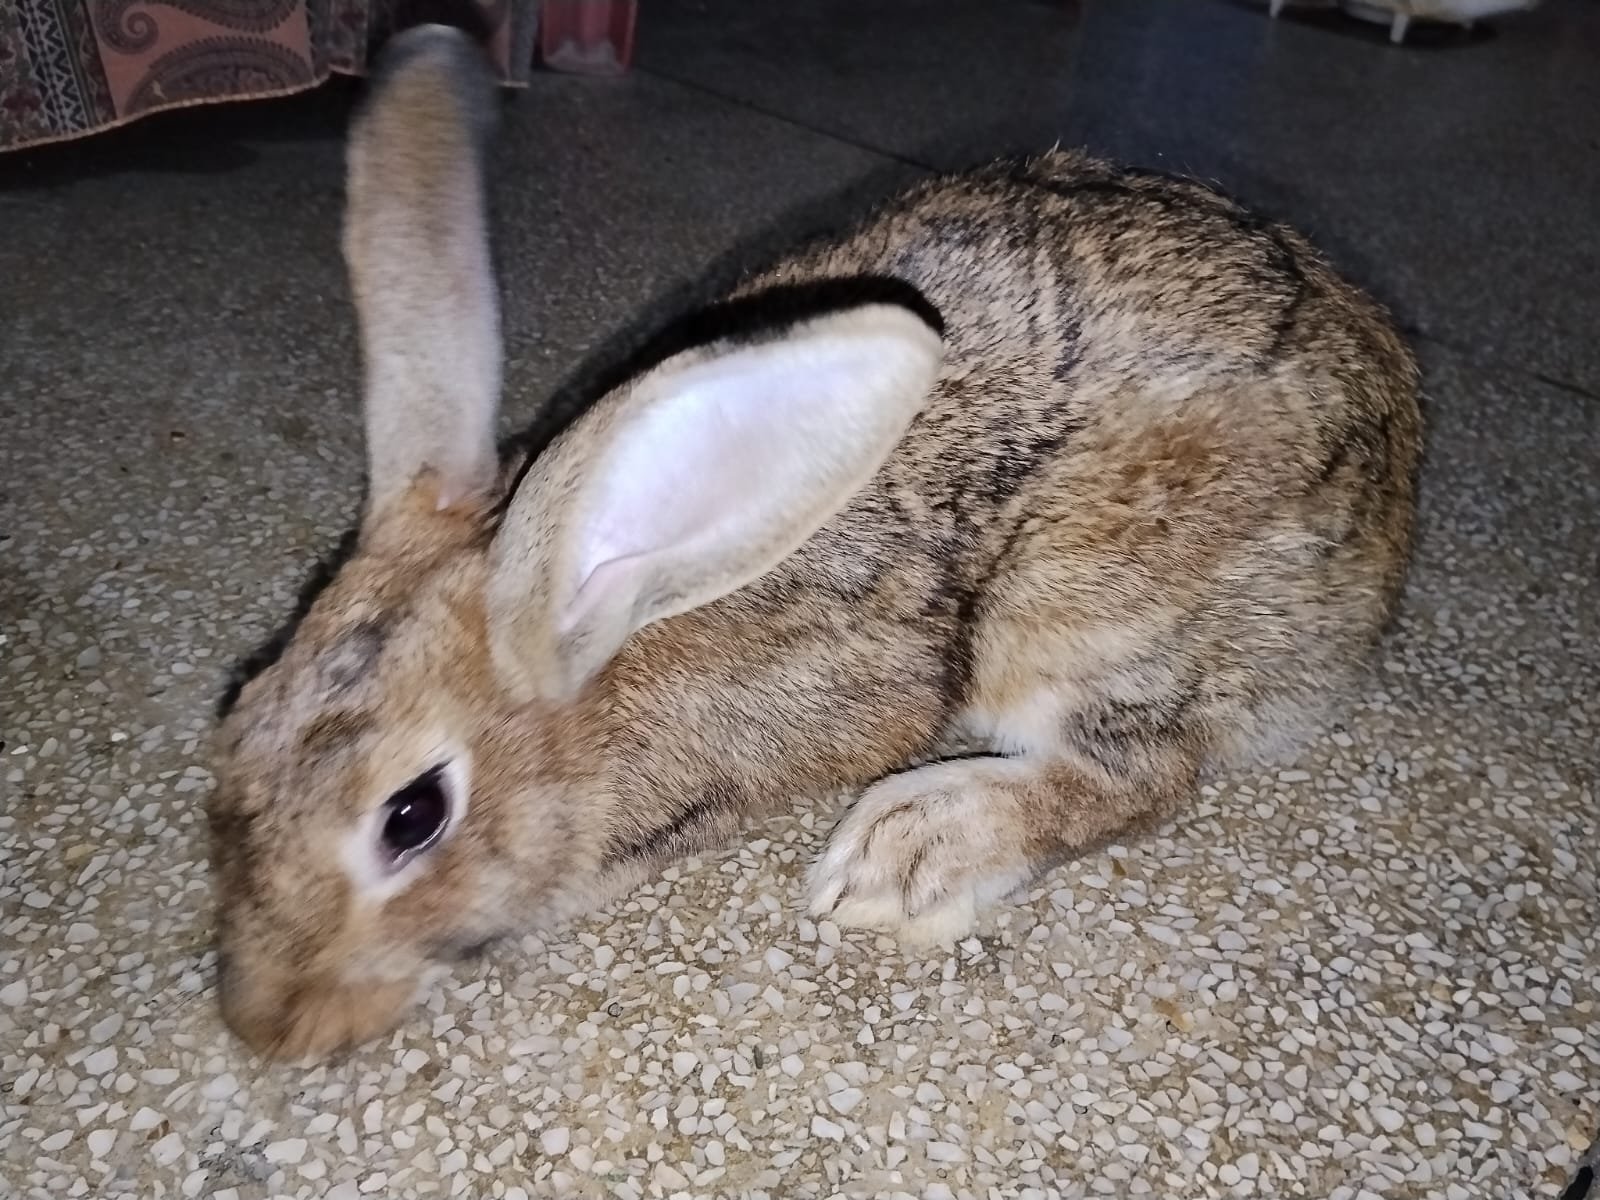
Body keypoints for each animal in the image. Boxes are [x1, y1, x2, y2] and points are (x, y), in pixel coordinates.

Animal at [208, 22, 1422, 1061]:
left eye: (412, 817)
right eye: (237, 713)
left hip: (1079, 614)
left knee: (1145, 775)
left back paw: (913, 849)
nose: (266, 1024)